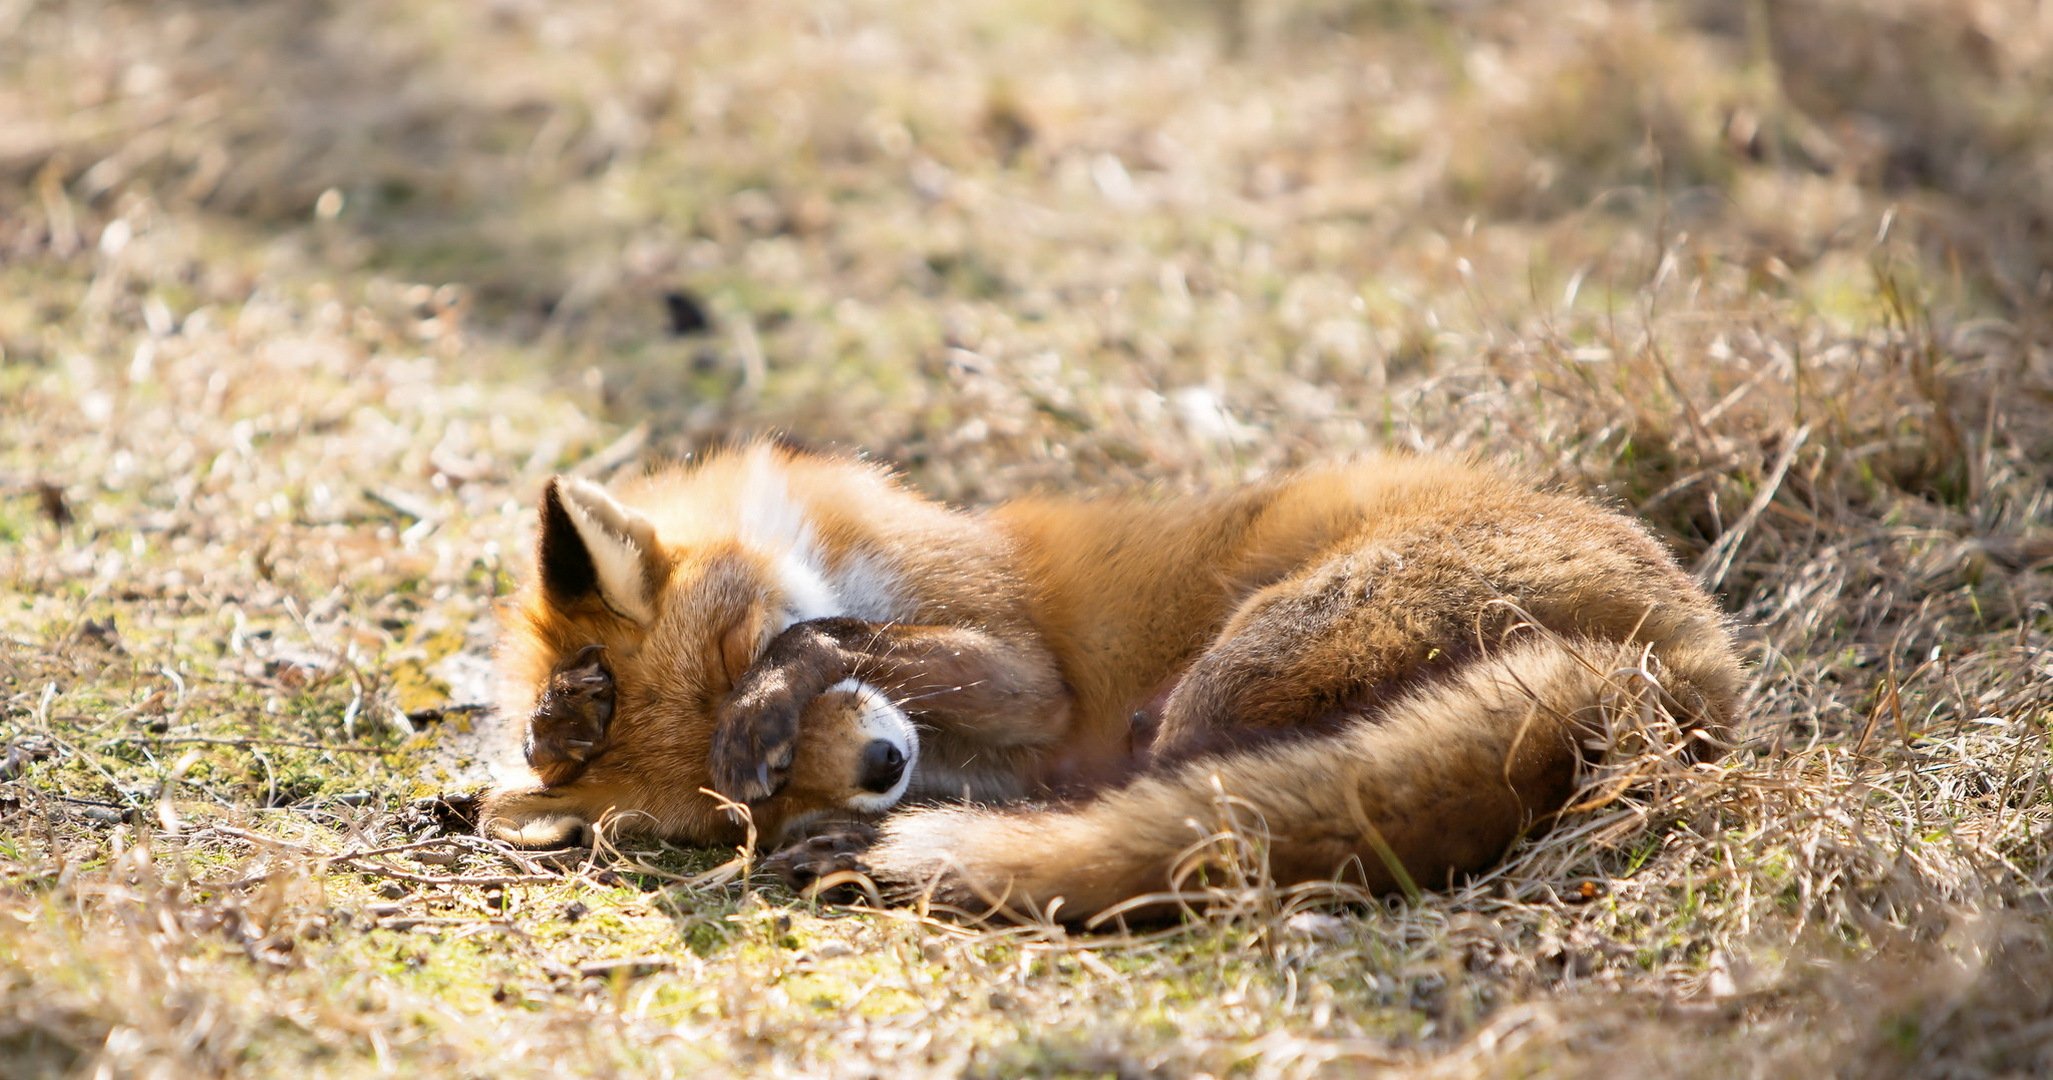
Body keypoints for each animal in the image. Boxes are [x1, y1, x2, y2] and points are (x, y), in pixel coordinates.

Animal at [479, 441, 1744, 922]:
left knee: (1187, 797)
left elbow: (829, 634)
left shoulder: (1018, 665)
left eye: (742, 658)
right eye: (746, 807)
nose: (883, 768)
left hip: (1241, 665)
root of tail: (1694, 661)